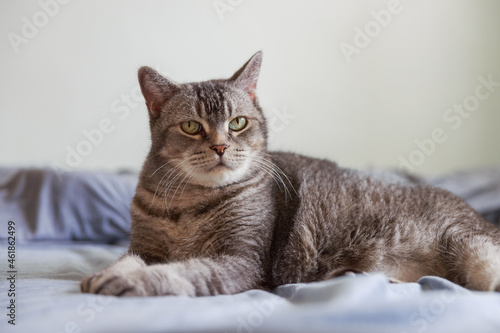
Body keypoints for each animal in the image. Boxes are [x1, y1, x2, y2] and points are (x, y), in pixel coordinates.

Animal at [80, 50, 500, 294]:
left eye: (237, 123)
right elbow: (128, 259)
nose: (219, 146)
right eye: (191, 126)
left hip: (468, 244)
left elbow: (186, 271)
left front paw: (130, 280)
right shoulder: (144, 247)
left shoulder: (243, 260)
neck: (189, 202)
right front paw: (110, 272)